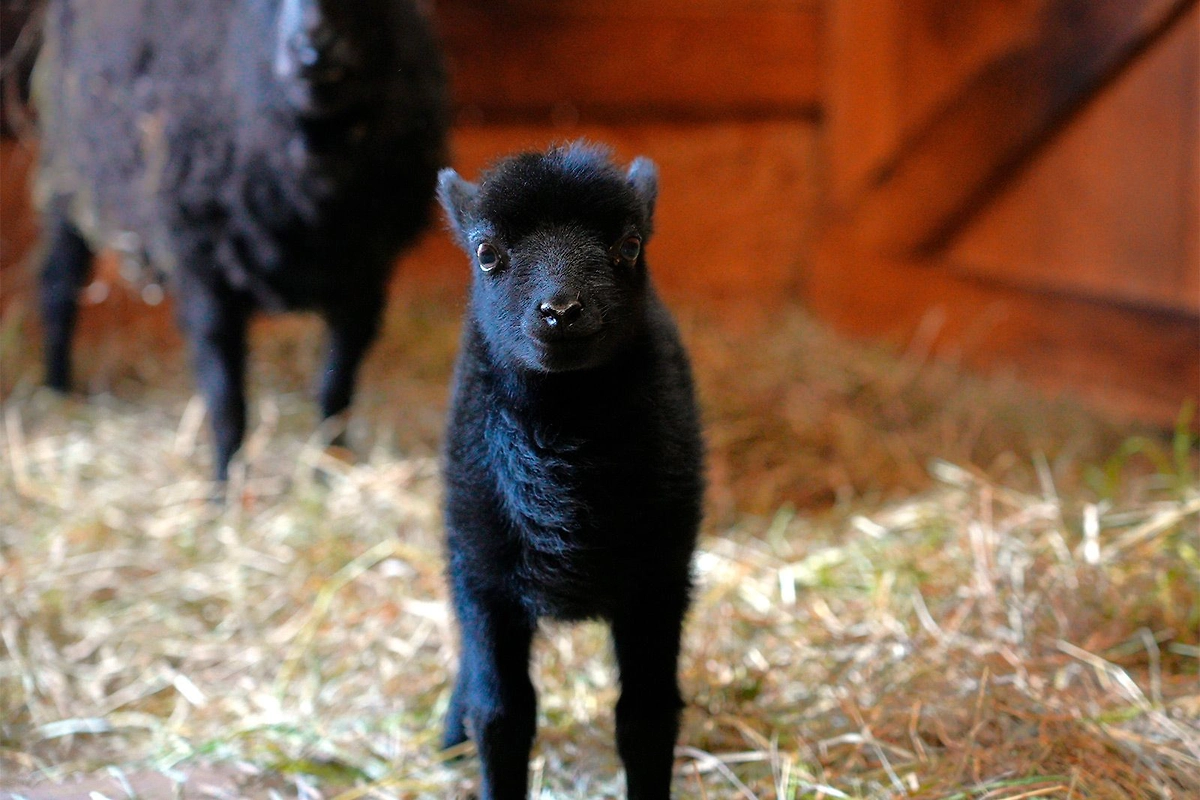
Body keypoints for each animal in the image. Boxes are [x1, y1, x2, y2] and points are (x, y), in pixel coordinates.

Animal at [32, 0, 448, 481]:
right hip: (68, 174)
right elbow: (227, 402)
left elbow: (336, 389)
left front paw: (329, 465)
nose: (313, 49)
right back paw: (57, 388)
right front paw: (224, 487)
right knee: (58, 284)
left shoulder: (365, 276)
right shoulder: (206, 273)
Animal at [437, 142, 705, 800]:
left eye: (629, 245)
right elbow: (501, 715)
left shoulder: (657, 581)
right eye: (487, 253)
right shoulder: (485, 580)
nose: (561, 311)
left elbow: (646, 718)